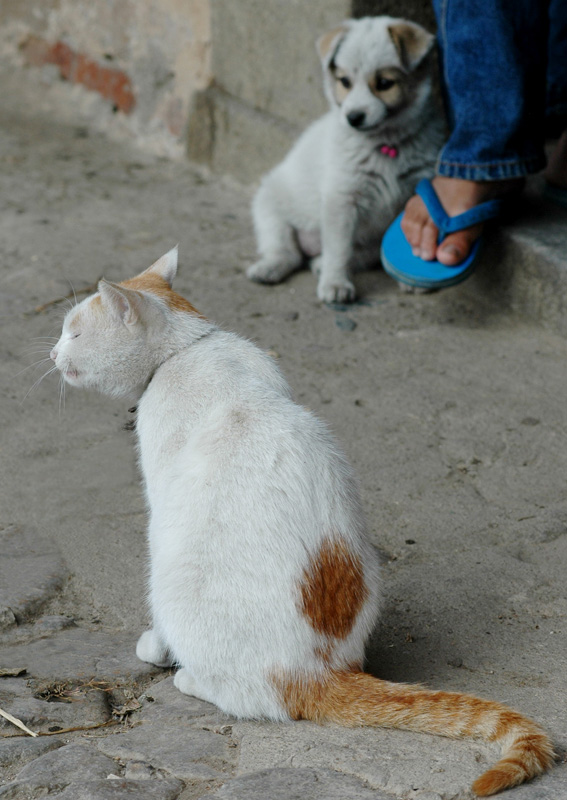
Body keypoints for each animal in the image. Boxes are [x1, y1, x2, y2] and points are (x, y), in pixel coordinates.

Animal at [51, 248, 552, 792]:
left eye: (73, 333)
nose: (52, 355)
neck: (186, 350)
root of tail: (320, 673)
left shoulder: (160, 498)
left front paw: (156, 648)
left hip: (176, 580)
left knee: (253, 700)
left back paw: (189, 676)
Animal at [247, 16, 444, 304]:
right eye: (344, 82)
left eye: (384, 83)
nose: (354, 117)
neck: (386, 144)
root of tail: (311, 246)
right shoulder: (342, 198)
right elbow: (339, 249)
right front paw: (335, 283)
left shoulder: (414, 195)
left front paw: (411, 277)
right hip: (270, 206)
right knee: (287, 251)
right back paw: (271, 268)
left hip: (371, 240)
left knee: (359, 255)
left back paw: (319, 263)